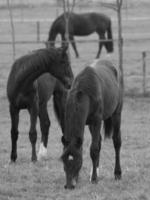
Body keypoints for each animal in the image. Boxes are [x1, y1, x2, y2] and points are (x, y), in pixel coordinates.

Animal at [61, 59, 123, 189]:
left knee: (117, 142)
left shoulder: (96, 121)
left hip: (116, 114)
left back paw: (117, 173)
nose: (69, 185)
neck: (84, 93)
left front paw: (94, 179)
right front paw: (87, 177)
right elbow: (94, 146)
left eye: (77, 161)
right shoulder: (88, 123)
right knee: (99, 141)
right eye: (63, 160)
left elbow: (94, 149)